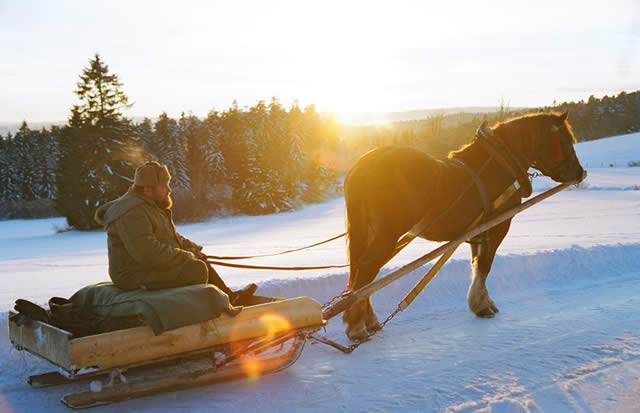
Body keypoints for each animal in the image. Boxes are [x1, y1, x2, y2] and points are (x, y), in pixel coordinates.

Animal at [342, 111, 588, 340]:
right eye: (567, 140)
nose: (580, 172)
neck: (500, 164)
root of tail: (362, 167)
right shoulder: (499, 225)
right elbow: (485, 265)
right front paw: (482, 306)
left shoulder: (477, 230)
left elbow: (476, 263)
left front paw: (482, 301)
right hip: (387, 235)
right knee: (365, 274)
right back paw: (357, 328)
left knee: (362, 275)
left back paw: (368, 320)